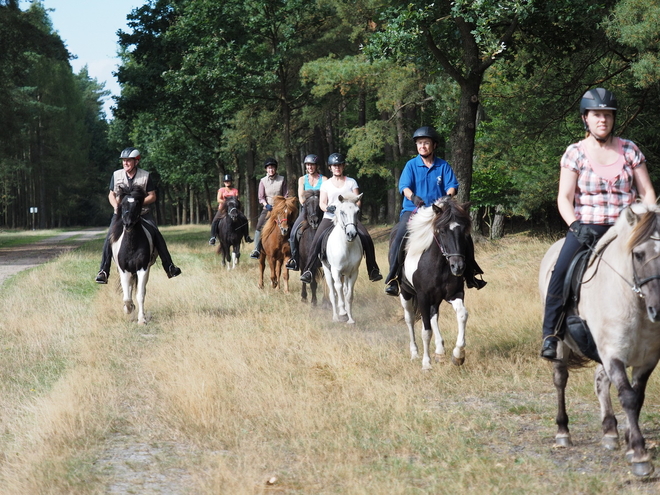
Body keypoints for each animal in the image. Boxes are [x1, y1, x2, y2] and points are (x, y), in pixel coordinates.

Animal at [111, 183, 159, 326]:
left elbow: (140, 295)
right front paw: (128, 309)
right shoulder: (124, 270)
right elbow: (127, 297)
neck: (131, 244)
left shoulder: (143, 269)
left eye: (137, 204)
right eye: (123, 204)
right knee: (129, 289)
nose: (127, 224)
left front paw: (141, 319)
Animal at [322, 193, 364, 326]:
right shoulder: (336, 271)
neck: (346, 245)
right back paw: (335, 317)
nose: (351, 234)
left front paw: (350, 319)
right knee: (332, 292)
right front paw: (343, 314)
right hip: (327, 270)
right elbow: (338, 289)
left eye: (357, 211)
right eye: (342, 212)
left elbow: (349, 295)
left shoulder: (353, 272)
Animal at [398, 198, 470, 372]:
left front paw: (458, 355)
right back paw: (415, 353)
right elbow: (426, 331)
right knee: (410, 319)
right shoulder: (423, 296)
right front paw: (426, 363)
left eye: (464, 231)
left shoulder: (454, 294)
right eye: (442, 231)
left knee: (433, 316)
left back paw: (439, 351)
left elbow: (462, 315)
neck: (439, 265)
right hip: (405, 293)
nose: (458, 267)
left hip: (435, 299)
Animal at [540, 203, 660, 478]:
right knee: (560, 379)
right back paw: (563, 432)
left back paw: (609, 431)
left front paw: (629, 442)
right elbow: (628, 398)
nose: (659, 309)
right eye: (638, 255)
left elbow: (637, 398)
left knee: (600, 380)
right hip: (561, 345)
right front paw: (640, 455)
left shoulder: (647, 359)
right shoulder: (613, 353)